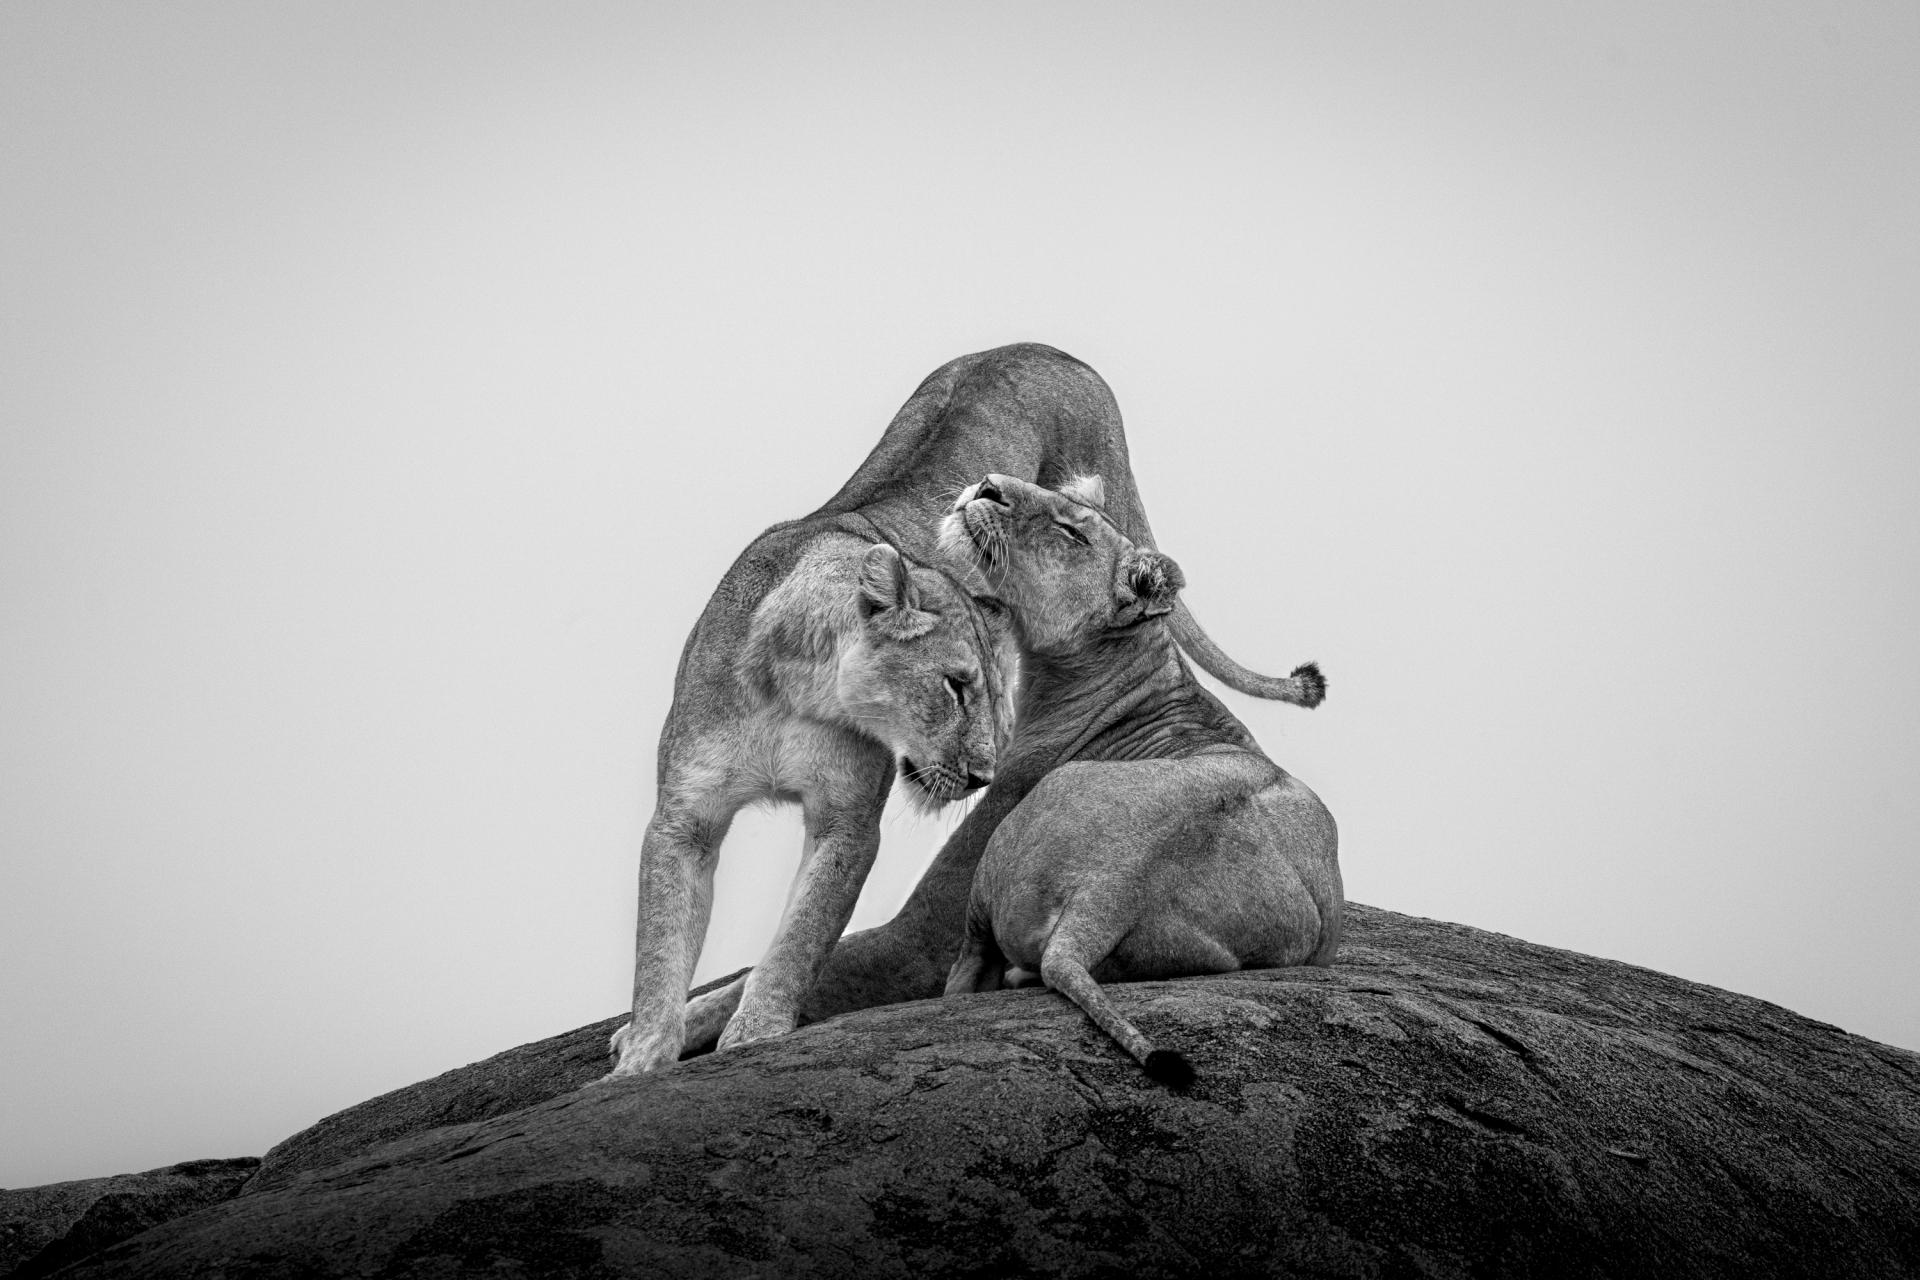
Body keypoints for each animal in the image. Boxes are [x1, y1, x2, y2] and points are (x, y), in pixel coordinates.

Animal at [940, 475, 1344, 1090]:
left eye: (1072, 532)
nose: (988, 484)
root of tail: (1111, 888)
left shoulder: (1012, 784)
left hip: (1003, 864)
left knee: (967, 969)